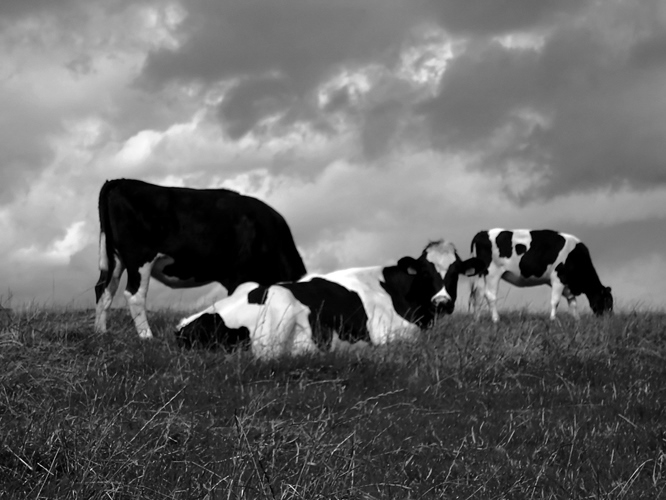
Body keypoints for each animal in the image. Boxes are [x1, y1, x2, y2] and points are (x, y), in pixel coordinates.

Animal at [94, 178, 307, 338]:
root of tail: (119, 181)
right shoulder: (239, 275)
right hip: (140, 258)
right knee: (134, 295)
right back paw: (147, 336)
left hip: (114, 258)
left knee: (104, 289)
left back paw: (101, 332)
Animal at [175, 239, 485, 359]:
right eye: (425, 272)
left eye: (455, 272)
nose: (442, 302)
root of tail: (184, 327)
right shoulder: (389, 337)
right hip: (277, 316)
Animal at [468, 228, 613, 322]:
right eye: (607, 300)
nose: (608, 319)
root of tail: (482, 233)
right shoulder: (559, 277)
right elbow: (555, 301)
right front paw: (553, 319)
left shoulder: (567, 285)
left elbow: (572, 302)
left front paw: (577, 320)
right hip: (493, 272)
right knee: (490, 295)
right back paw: (496, 319)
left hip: (481, 273)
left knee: (478, 294)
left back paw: (476, 319)